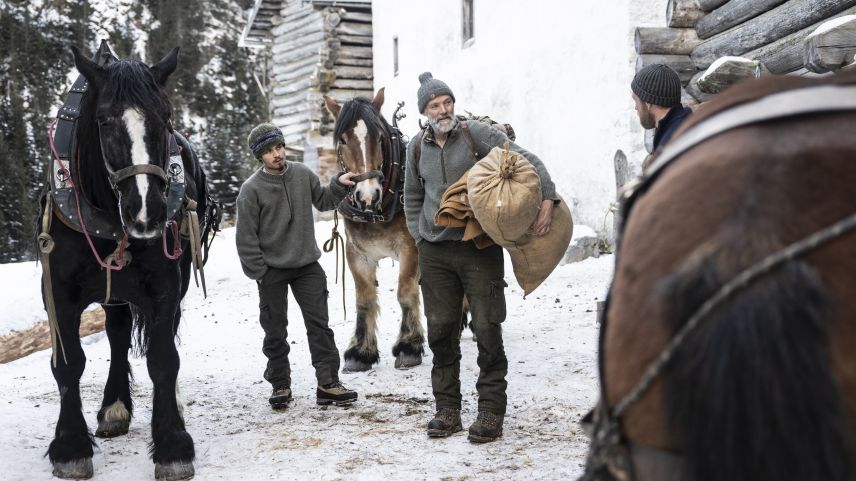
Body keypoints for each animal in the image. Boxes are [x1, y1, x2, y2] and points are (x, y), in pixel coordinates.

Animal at [38, 43, 214, 478]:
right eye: (103, 120)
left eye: (165, 117)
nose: (147, 211)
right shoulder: (58, 293)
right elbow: (68, 363)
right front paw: (70, 446)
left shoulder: (165, 287)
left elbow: (164, 358)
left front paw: (173, 444)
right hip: (113, 290)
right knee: (117, 334)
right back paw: (114, 407)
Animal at [320, 89, 424, 372]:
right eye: (342, 139)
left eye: (379, 137)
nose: (368, 195)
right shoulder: (357, 254)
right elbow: (364, 299)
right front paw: (360, 352)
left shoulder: (410, 249)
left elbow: (405, 292)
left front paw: (409, 345)